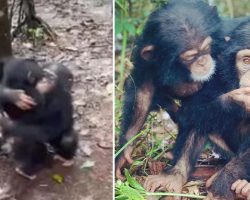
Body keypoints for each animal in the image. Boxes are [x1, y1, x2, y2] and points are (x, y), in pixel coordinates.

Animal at [114, 0, 250, 181]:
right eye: (190, 56)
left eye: (207, 47)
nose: (203, 61)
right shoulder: (148, 58)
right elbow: (143, 94)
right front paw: (124, 152)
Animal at [146, 19, 250, 200]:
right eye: (247, 60)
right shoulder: (212, 61)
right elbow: (194, 108)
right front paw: (236, 101)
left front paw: (221, 189)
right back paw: (175, 175)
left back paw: (243, 186)